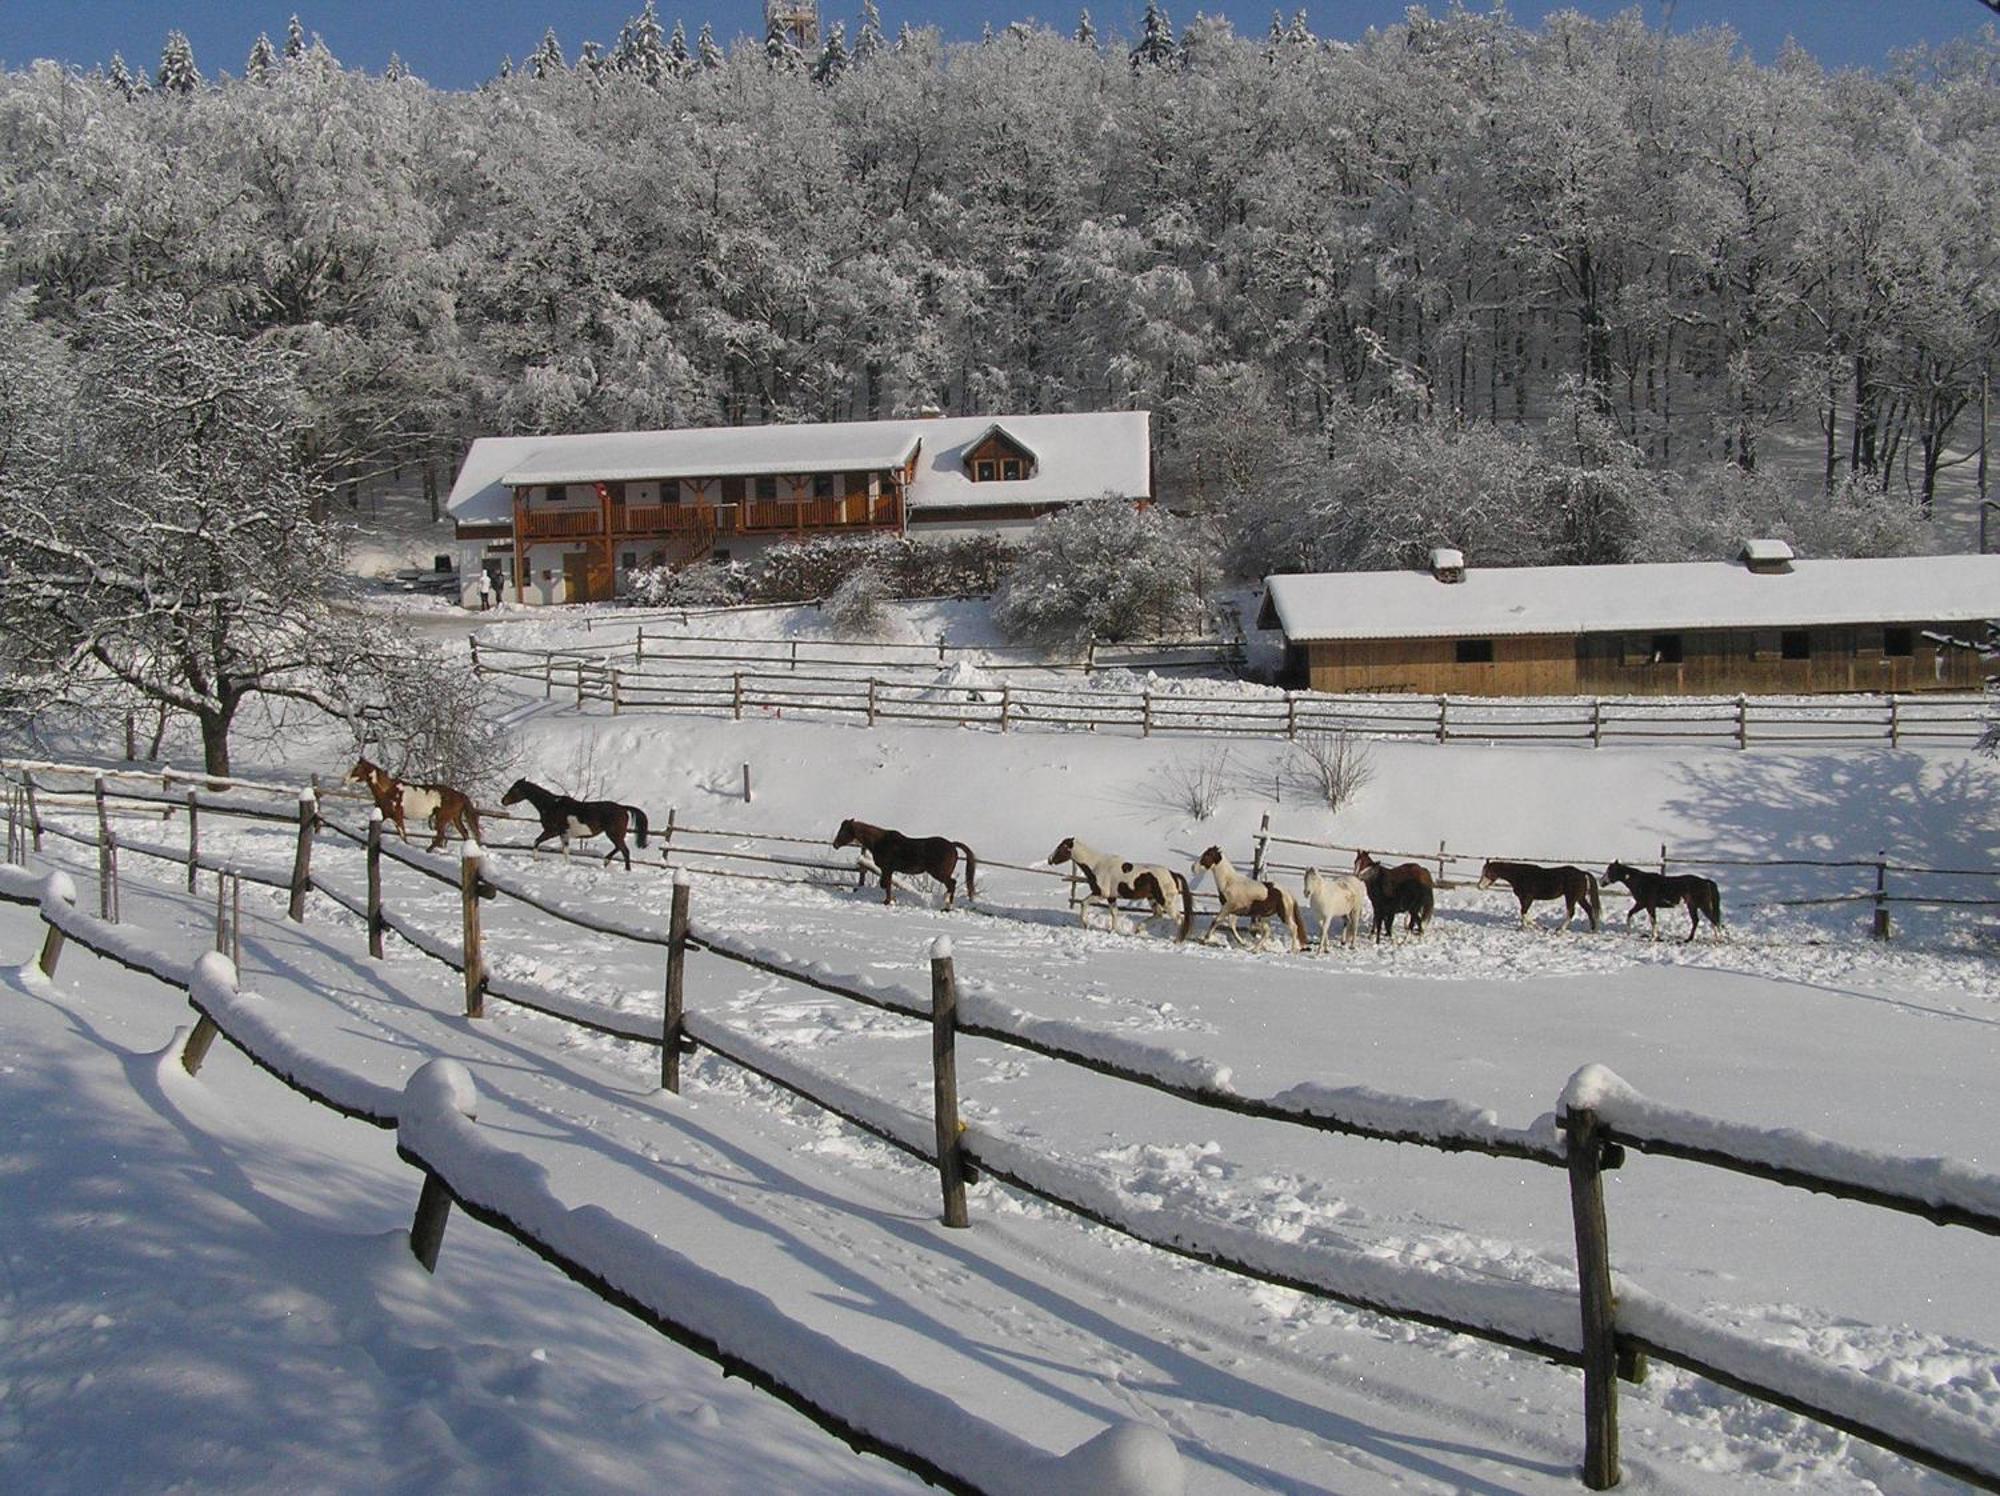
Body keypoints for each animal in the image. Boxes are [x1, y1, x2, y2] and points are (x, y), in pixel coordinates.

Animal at [348, 752, 480, 848]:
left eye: (357, 769)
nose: (345, 779)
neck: (387, 791)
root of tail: (459, 794)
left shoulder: (397, 817)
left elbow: (403, 836)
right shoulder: (384, 814)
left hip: (442, 818)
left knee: (440, 837)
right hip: (454, 818)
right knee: (464, 834)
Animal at [504, 776, 652, 872]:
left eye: (515, 789)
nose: (503, 801)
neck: (551, 805)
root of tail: (622, 808)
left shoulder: (552, 831)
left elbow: (537, 841)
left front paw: (535, 859)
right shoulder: (562, 834)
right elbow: (564, 850)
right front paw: (567, 865)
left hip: (614, 833)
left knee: (625, 850)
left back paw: (626, 870)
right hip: (615, 834)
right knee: (619, 848)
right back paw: (606, 861)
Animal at [832, 820, 980, 912]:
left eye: (843, 831)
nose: (835, 844)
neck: (881, 842)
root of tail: (952, 845)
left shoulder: (887, 869)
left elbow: (886, 885)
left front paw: (889, 901)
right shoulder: (888, 870)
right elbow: (886, 885)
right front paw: (891, 900)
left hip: (939, 873)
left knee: (952, 884)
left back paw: (947, 905)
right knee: (952, 884)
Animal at [1048, 836, 1184, 940]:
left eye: (1061, 847)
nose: (1050, 860)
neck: (1096, 865)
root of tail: (1173, 874)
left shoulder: (1100, 894)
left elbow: (1083, 903)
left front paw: (1085, 924)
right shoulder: (1111, 897)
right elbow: (1114, 913)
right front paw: (1113, 931)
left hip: (1165, 901)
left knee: (1179, 919)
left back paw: (1177, 941)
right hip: (1152, 899)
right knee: (1158, 915)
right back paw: (1137, 929)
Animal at [1600, 860, 1728, 940]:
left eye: (1610, 871)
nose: (1601, 882)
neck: (1641, 882)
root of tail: (1706, 881)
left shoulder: (1649, 905)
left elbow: (1653, 920)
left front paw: (1654, 937)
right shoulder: (1641, 904)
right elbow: (1630, 914)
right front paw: (1629, 932)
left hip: (1703, 905)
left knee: (1713, 920)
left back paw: (1718, 939)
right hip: (1692, 906)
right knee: (1697, 921)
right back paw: (1689, 939)